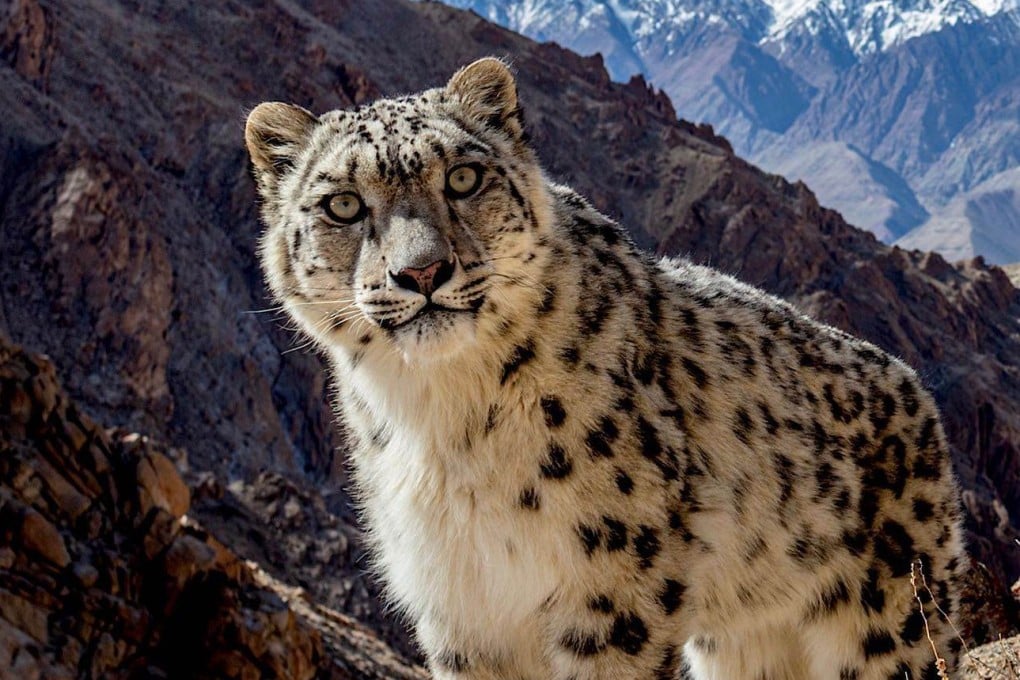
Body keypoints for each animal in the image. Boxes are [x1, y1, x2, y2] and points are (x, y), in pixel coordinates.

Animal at [244, 57, 966, 679]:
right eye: (342, 204)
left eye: (463, 179)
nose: (422, 272)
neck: (444, 419)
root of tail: (917, 395)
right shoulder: (459, 604)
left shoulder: (615, 588)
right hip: (749, 640)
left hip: (891, 621)